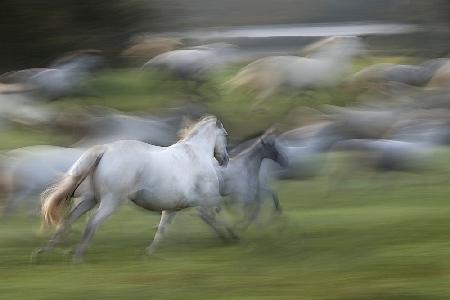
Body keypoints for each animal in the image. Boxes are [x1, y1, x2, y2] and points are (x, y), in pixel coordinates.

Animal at [36, 116, 230, 262]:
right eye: (225, 135)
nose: (225, 159)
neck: (195, 154)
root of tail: (105, 149)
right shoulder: (206, 198)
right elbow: (214, 215)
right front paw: (231, 236)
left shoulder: (173, 207)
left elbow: (163, 228)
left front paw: (150, 252)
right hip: (111, 201)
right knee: (92, 223)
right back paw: (77, 256)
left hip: (91, 199)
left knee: (68, 220)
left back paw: (44, 252)